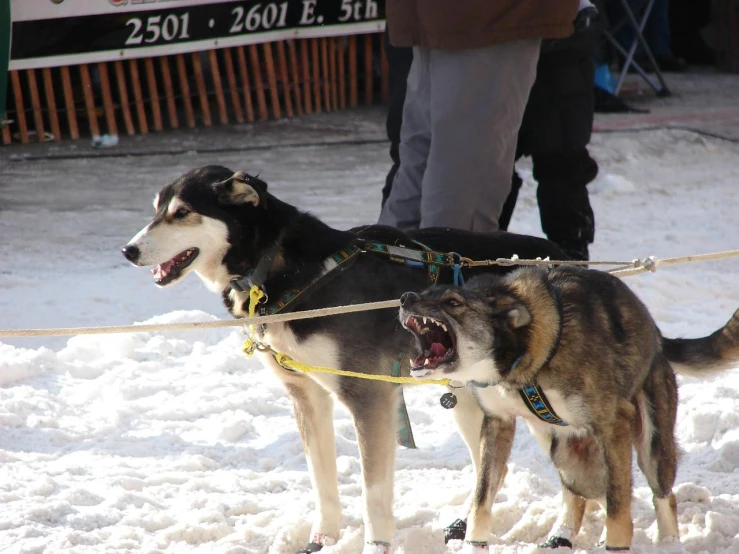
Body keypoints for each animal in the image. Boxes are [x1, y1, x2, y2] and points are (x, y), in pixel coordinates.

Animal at [123, 164, 572, 552]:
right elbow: (322, 479)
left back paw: (563, 533)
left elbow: (374, 494)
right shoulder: (305, 395)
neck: (287, 271)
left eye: (182, 213)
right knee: (492, 469)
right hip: (467, 399)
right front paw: (322, 540)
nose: (128, 250)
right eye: (156, 210)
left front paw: (376, 545)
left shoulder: (369, 397)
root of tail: (560, 255)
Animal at [398, 266, 739, 548]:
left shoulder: (614, 425)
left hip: (650, 443)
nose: (406, 297)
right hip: (565, 452)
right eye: (426, 291)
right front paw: (474, 544)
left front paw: (615, 544)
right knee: (581, 494)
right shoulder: (497, 421)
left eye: (453, 302)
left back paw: (668, 543)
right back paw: (564, 533)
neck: (525, 357)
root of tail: (656, 335)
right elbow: (482, 500)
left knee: (660, 496)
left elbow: (619, 508)